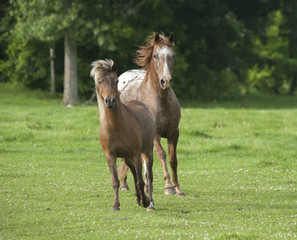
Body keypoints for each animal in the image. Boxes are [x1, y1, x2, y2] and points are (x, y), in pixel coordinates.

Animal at [90, 59, 155, 211]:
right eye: (100, 81)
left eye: (116, 80)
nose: (110, 101)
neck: (116, 127)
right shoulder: (110, 156)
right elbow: (116, 181)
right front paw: (115, 205)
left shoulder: (136, 155)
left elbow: (141, 181)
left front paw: (145, 201)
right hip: (127, 158)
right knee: (134, 174)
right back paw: (138, 198)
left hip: (147, 152)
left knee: (148, 176)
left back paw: (149, 202)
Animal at [118, 32, 185, 196]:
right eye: (155, 55)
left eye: (173, 55)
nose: (166, 81)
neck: (162, 101)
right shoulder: (155, 134)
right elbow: (161, 154)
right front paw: (168, 187)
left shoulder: (174, 133)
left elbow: (173, 159)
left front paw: (178, 188)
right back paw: (126, 184)